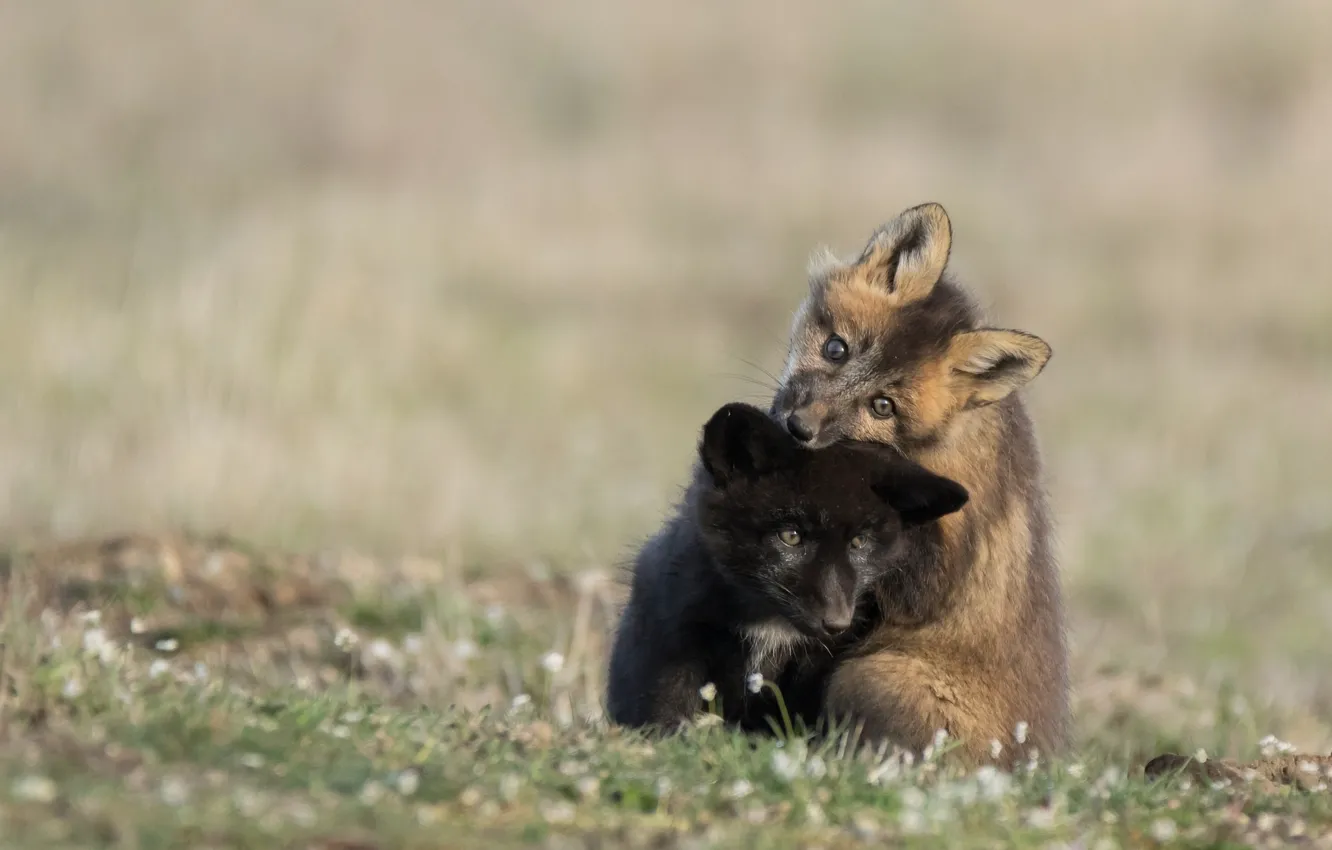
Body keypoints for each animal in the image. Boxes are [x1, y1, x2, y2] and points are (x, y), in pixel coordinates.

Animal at [605, 402, 969, 735]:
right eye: (790, 536)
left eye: (859, 542)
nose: (836, 622)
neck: (770, 622)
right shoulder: (675, 634)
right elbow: (666, 702)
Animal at [768, 202, 1068, 766]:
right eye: (836, 349)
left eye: (882, 406)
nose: (799, 428)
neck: (933, 442)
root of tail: (1033, 765)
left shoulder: (932, 576)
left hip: (874, 675)